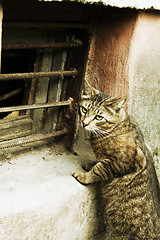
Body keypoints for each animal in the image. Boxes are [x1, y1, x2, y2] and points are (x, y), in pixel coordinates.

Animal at [73, 81, 160, 240]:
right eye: (84, 109)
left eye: (99, 117)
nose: (84, 123)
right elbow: (98, 162)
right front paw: (89, 164)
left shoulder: (120, 162)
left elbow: (99, 169)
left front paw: (84, 176)